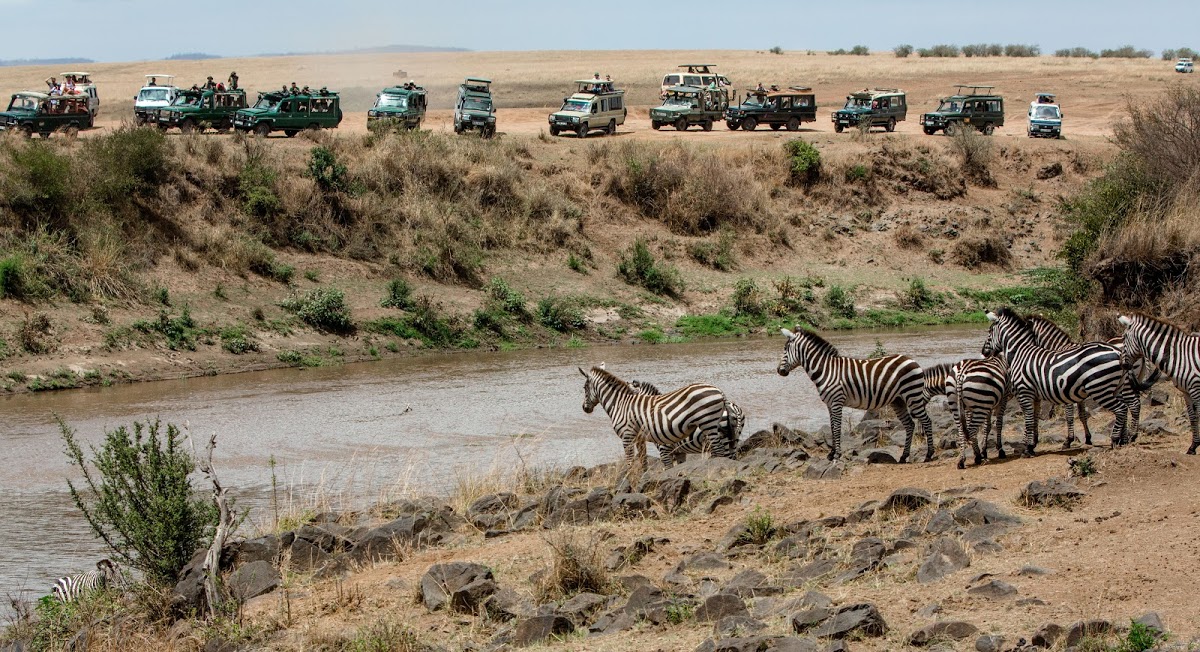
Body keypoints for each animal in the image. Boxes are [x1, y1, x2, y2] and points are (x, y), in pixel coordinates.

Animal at [578, 365, 734, 473]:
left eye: (584, 388)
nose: (584, 408)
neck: (620, 403)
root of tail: (720, 391)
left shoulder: (627, 436)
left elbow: (630, 462)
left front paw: (628, 480)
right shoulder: (640, 438)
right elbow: (643, 461)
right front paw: (643, 477)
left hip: (708, 423)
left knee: (719, 451)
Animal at [772, 326, 931, 463]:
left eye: (785, 349)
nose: (779, 371)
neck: (826, 369)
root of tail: (912, 360)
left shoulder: (837, 401)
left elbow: (837, 428)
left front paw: (837, 455)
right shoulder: (829, 404)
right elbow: (832, 427)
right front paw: (831, 454)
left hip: (913, 396)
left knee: (926, 421)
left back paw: (929, 455)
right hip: (898, 400)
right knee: (910, 424)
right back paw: (904, 457)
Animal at [984, 309, 1132, 456]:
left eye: (990, 330)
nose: (984, 352)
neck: (1020, 353)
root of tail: (1117, 351)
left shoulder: (1025, 392)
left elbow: (1030, 419)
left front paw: (1028, 448)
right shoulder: (1036, 396)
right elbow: (1036, 418)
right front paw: (1032, 445)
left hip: (1100, 388)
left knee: (1121, 408)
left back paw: (1114, 440)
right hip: (1115, 388)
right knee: (1125, 407)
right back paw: (1123, 440)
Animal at [1113, 314, 1200, 456]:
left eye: (1124, 337)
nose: (1121, 365)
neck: (1180, 356)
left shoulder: (1196, 388)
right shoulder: (1186, 391)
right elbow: (1193, 417)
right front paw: (1193, 447)